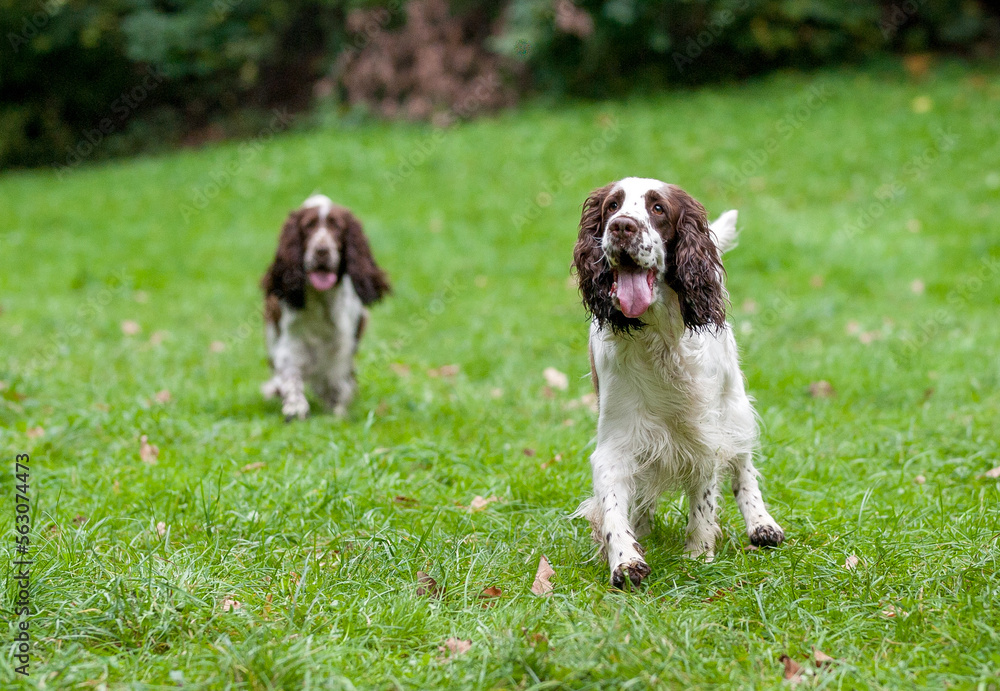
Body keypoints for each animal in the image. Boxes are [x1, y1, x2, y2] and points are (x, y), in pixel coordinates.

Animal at [262, 195, 390, 422]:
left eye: (337, 227)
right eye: (308, 226)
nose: (322, 251)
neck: (322, 302)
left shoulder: (342, 348)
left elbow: (338, 385)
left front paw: (337, 412)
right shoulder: (289, 345)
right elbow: (290, 375)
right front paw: (295, 407)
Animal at [572, 178, 780, 588]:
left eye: (658, 208)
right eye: (611, 206)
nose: (622, 226)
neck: (660, 340)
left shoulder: (704, 433)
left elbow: (705, 496)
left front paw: (699, 554)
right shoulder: (617, 442)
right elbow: (613, 506)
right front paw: (626, 560)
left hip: (734, 403)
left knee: (743, 466)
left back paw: (761, 523)